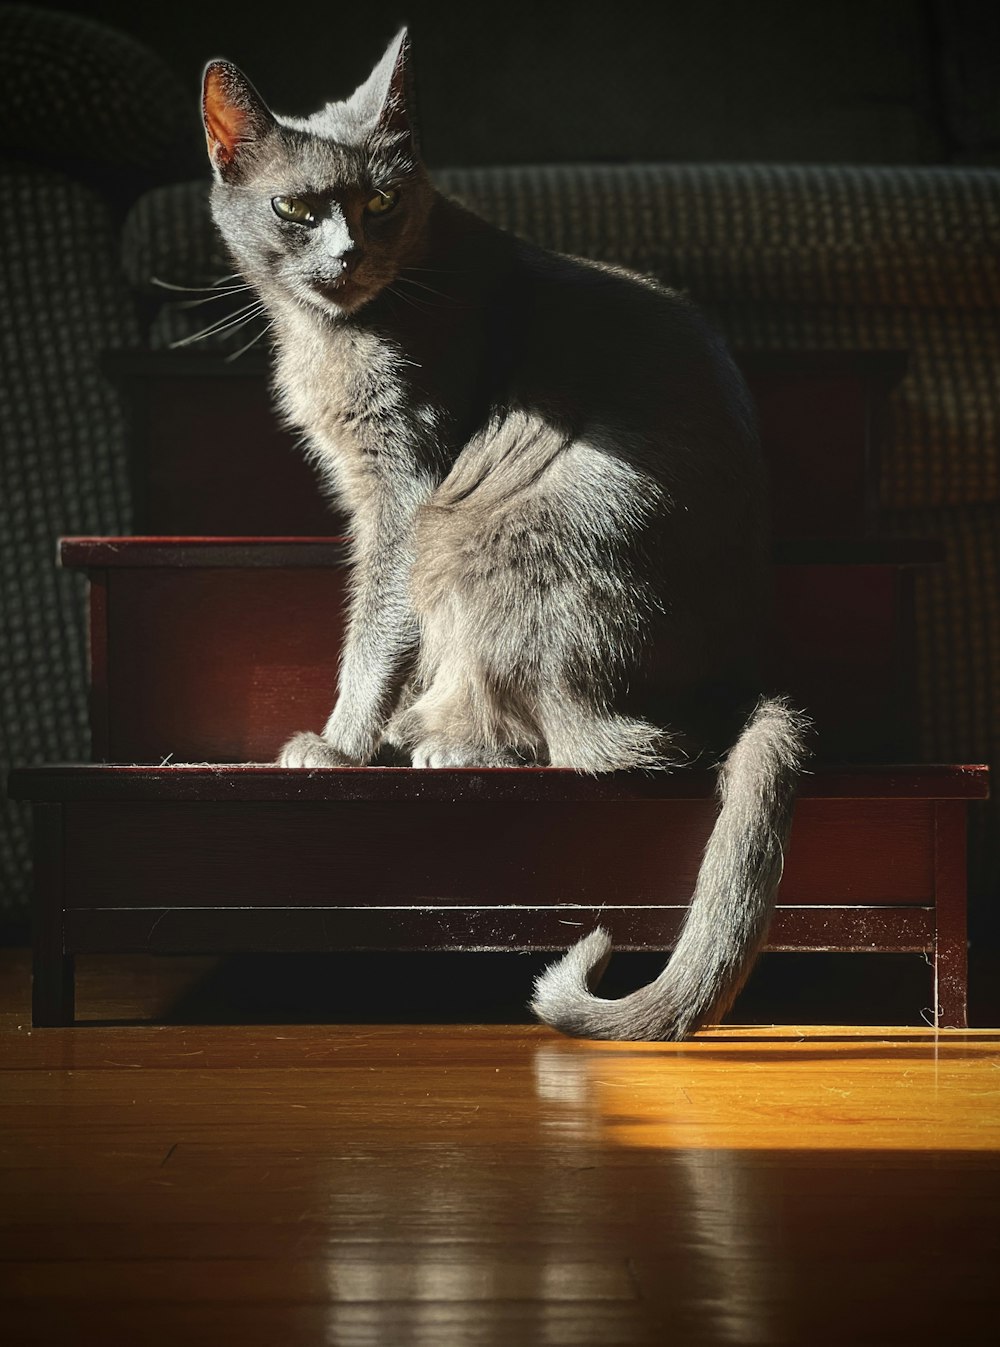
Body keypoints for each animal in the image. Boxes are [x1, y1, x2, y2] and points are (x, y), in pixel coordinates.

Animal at [199, 28, 808, 1039]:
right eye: (294, 207)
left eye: (381, 201)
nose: (346, 254)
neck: (334, 332)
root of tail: (731, 687)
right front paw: (364, 733)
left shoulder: (404, 490)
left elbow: (375, 629)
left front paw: (340, 745)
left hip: (484, 532)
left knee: (595, 746)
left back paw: (444, 739)